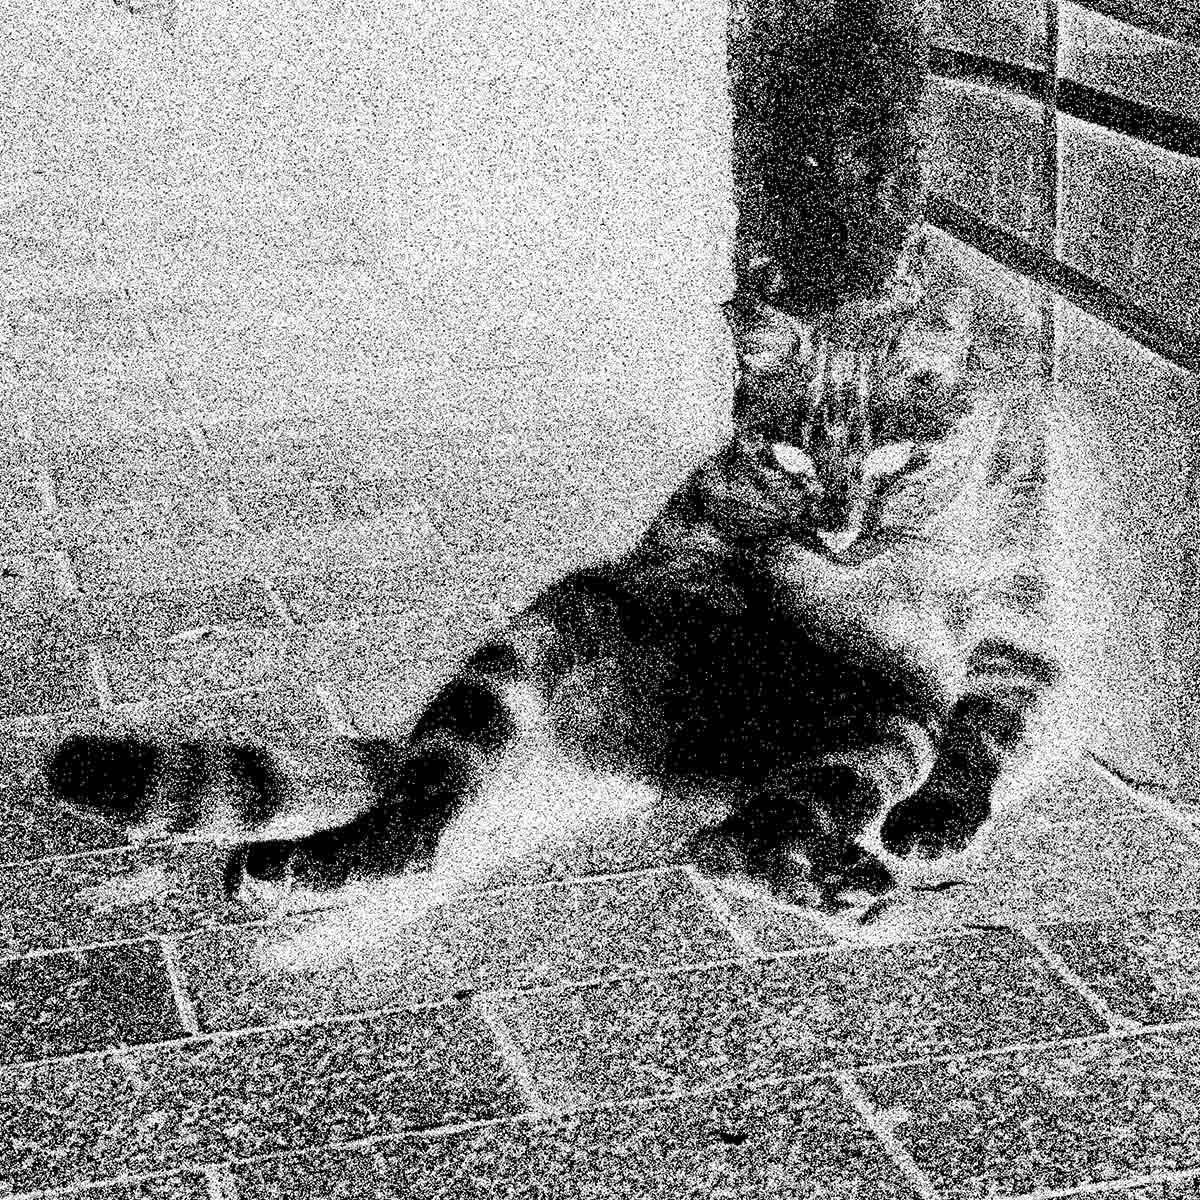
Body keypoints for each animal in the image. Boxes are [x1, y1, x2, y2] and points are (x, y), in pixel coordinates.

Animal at [42, 241, 1084, 926]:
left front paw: (944, 809)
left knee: (738, 839)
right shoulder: (698, 531)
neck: (895, 556)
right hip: (534, 647)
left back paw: (839, 877)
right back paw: (316, 860)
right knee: (420, 824)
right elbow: (704, 546)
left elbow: (986, 719)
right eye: (787, 455)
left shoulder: (1015, 628)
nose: (832, 527)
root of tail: (664, 765)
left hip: (881, 729)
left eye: (892, 458)